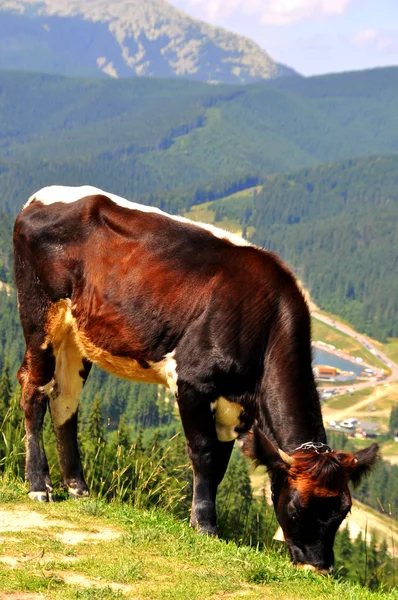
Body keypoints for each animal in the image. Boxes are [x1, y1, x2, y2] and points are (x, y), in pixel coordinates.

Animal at [13, 185, 380, 568]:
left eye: (342, 513)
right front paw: (204, 525)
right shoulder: (192, 381)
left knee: (65, 400)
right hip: (41, 315)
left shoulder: (235, 405)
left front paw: (205, 517)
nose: (318, 567)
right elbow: (203, 453)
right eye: (296, 508)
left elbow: (219, 463)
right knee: (34, 390)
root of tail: (39, 198)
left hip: (77, 335)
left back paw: (78, 487)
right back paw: (39, 485)